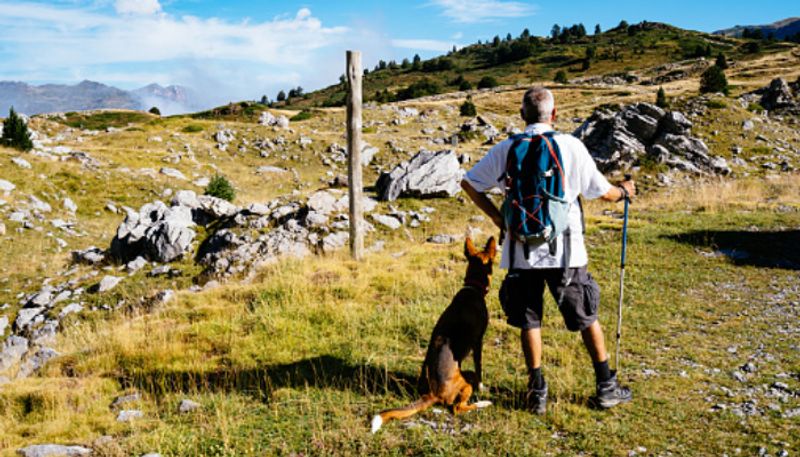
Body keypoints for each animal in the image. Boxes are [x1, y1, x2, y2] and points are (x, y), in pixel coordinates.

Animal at [372, 237, 496, 432]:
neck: (473, 287)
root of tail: (433, 393)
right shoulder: (478, 342)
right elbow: (480, 366)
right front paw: (483, 388)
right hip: (467, 379)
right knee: (457, 408)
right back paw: (483, 403)